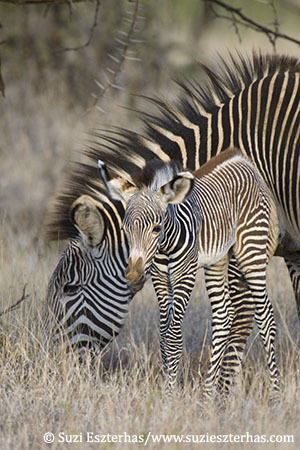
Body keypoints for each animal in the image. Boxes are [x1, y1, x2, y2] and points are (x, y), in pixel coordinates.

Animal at [97, 149, 280, 398]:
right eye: (125, 230)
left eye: (156, 228)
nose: (133, 276)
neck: (165, 245)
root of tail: (241, 158)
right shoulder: (160, 279)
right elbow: (164, 337)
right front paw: (169, 387)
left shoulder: (185, 275)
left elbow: (174, 338)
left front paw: (169, 396)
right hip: (217, 260)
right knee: (223, 316)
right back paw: (208, 395)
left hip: (251, 250)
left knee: (266, 317)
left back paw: (276, 394)